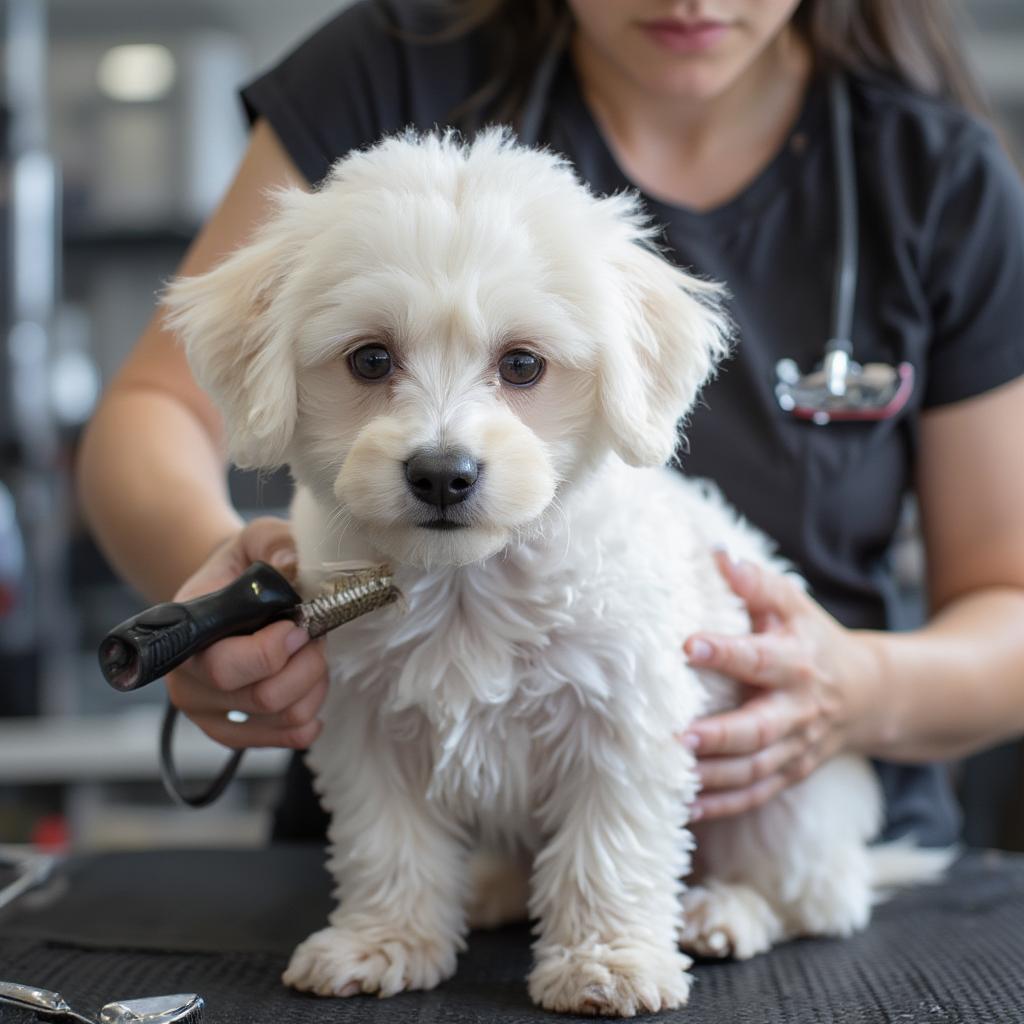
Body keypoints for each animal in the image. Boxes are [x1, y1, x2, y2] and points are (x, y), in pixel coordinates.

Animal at [167, 130, 888, 1015]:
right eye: (370, 359)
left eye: (522, 366)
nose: (443, 474)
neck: (467, 582)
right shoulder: (365, 726)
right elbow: (388, 842)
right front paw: (383, 943)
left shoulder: (625, 716)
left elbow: (608, 849)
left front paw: (606, 963)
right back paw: (490, 890)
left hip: (786, 799)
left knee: (817, 897)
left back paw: (723, 912)